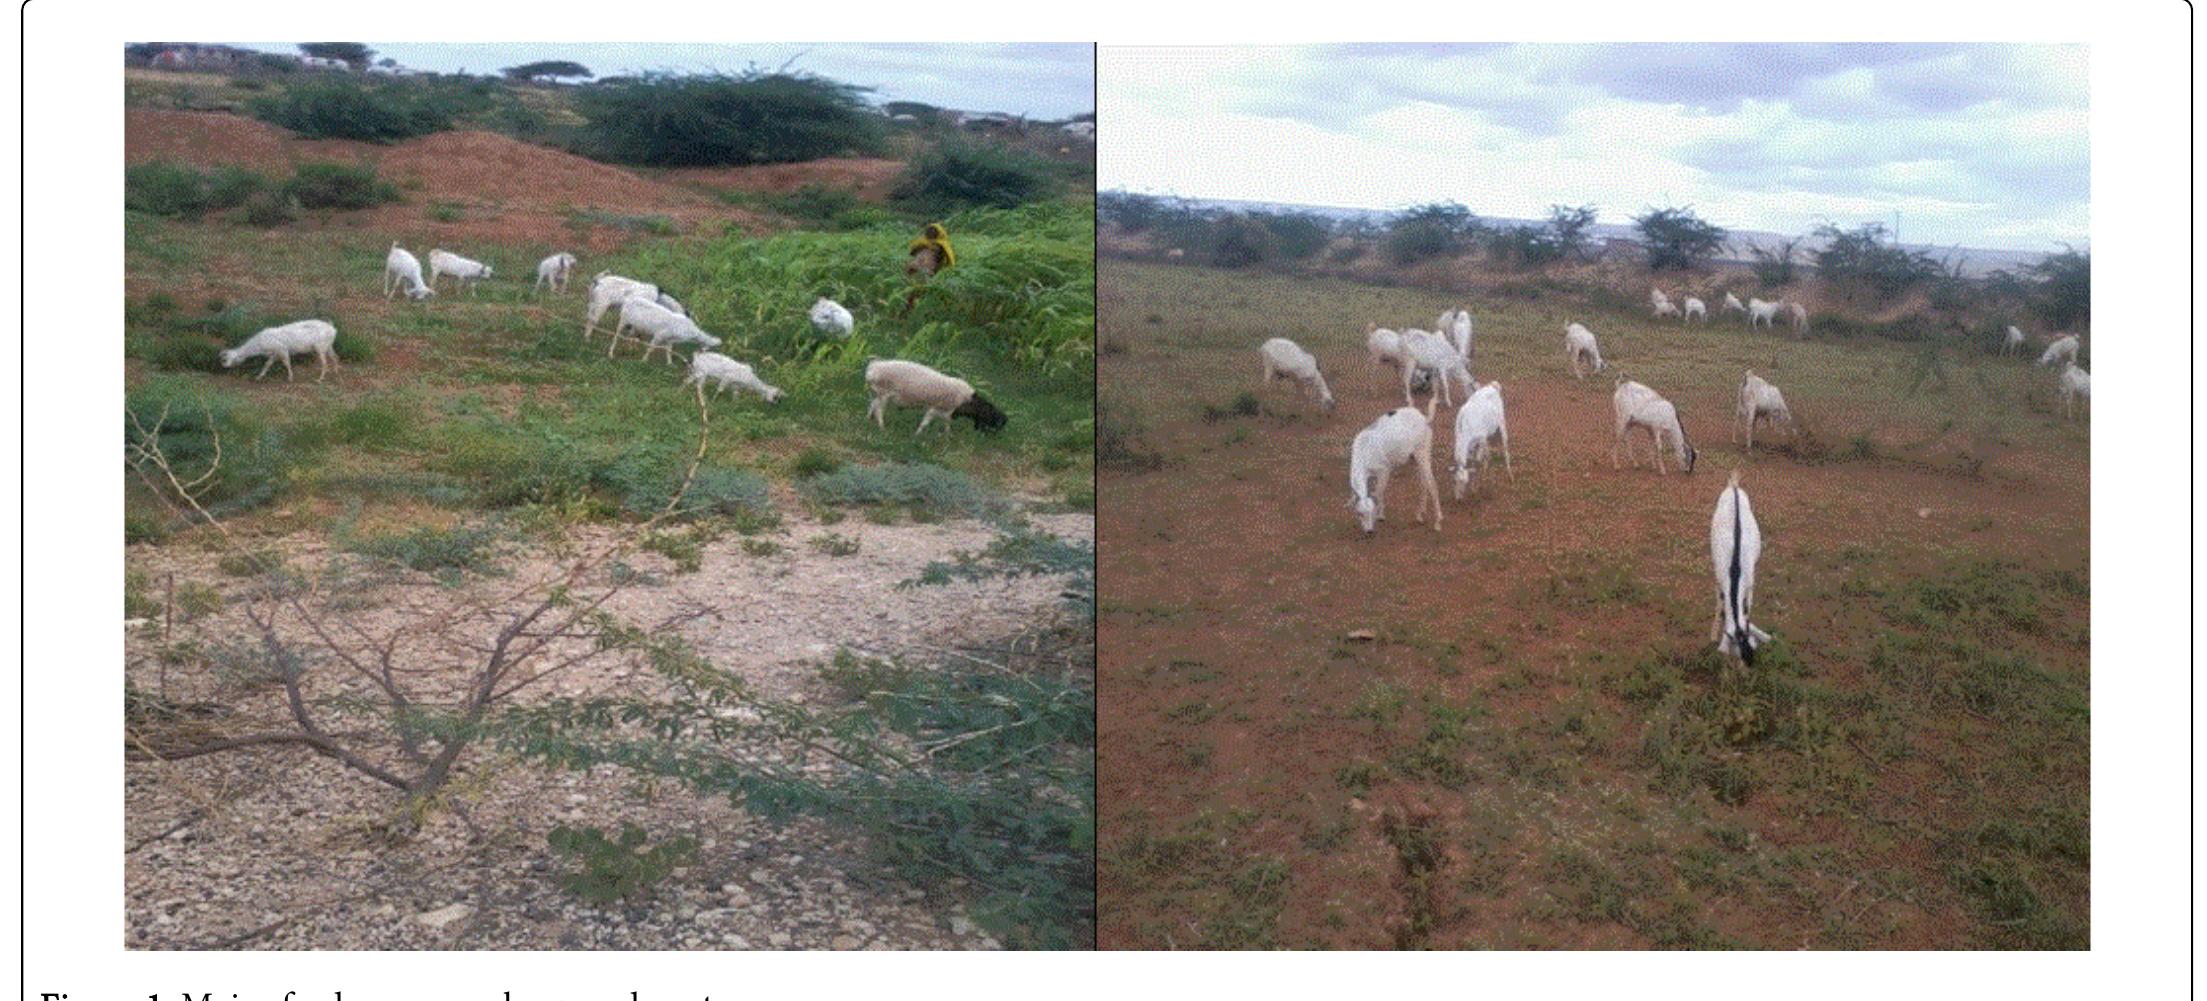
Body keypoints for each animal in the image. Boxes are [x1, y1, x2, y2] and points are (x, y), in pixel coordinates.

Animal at [864, 358, 1007, 433]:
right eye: (996, 420)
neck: (967, 401)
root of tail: (873, 368)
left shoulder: (946, 413)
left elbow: (947, 425)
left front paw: (947, 437)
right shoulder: (935, 408)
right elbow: (925, 423)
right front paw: (917, 434)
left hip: (878, 394)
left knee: (872, 404)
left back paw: (868, 419)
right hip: (884, 394)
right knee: (879, 410)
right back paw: (882, 427)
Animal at [1347, 406, 1441, 535]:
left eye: (1372, 512)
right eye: (1359, 514)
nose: (1369, 531)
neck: (1365, 449)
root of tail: (1424, 418)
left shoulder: (1384, 471)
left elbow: (1379, 492)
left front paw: (1381, 516)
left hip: (1422, 453)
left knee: (1432, 484)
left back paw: (1437, 522)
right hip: (1414, 458)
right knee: (1423, 482)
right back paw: (1420, 515)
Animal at [1709, 469, 1771, 666]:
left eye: (1752, 647)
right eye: (1739, 651)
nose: (1749, 663)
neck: (1735, 569)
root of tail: (1734, 487)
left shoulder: (1750, 583)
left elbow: (1747, 611)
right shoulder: (1720, 579)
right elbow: (1721, 604)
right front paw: (1717, 637)